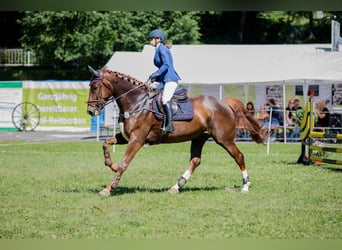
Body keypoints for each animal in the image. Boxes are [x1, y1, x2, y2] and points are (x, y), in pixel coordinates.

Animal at [86, 66, 268, 197]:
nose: (90, 111)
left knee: (239, 157)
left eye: (95, 87)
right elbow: (106, 143)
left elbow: (124, 163)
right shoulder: (127, 137)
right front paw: (111, 164)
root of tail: (225, 102)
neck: (137, 101)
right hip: (199, 138)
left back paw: (245, 186)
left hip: (224, 139)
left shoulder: (137, 138)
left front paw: (109, 188)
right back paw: (176, 186)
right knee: (195, 160)